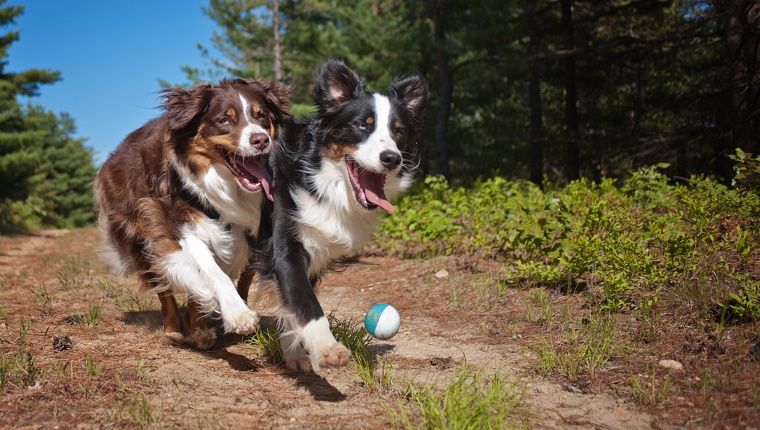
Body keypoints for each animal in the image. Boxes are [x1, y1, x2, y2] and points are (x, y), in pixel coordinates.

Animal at [95, 78, 290, 346]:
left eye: (262, 116)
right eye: (224, 120)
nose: (260, 140)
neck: (227, 186)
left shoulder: (250, 230)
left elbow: (236, 277)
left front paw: (206, 317)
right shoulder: (174, 222)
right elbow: (210, 270)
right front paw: (236, 313)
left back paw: (199, 328)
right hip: (138, 233)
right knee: (162, 286)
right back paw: (174, 327)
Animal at [254, 58, 428, 372]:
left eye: (399, 132)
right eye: (361, 126)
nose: (391, 158)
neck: (322, 179)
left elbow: (291, 305)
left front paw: (295, 353)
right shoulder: (284, 245)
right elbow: (305, 301)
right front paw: (326, 347)